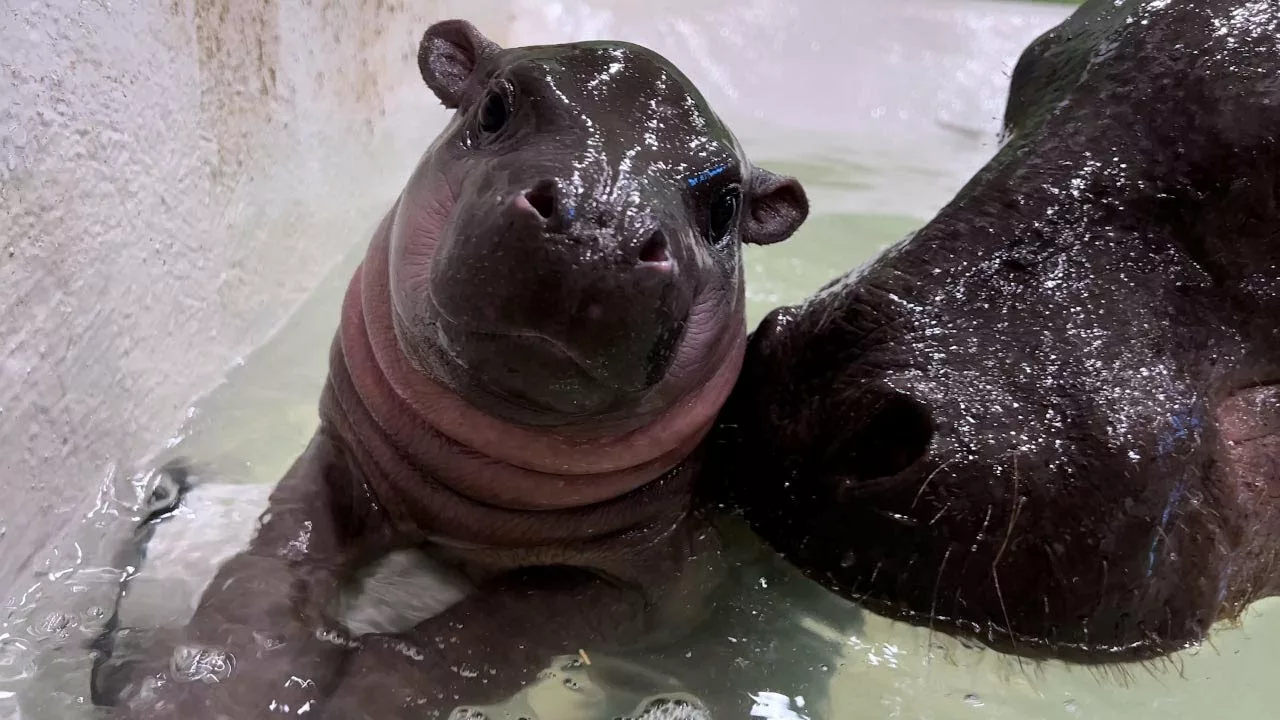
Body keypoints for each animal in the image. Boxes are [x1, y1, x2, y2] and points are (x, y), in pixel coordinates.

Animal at [94, 19, 807, 720]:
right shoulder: (340, 456)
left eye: (726, 205)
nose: (601, 224)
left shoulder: (648, 580)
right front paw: (204, 692)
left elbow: (472, 640)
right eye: (493, 107)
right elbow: (271, 561)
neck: (462, 485)